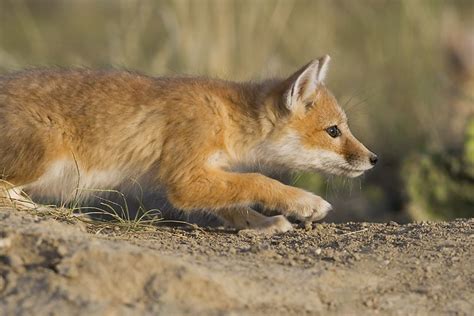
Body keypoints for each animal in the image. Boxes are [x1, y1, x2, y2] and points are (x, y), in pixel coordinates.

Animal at [0, 55, 378, 232]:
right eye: (333, 131)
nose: (373, 159)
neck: (225, 115)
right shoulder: (185, 180)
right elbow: (258, 180)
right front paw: (305, 202)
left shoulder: (209, 173)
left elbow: (236, 202)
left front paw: (264, 224)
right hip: (44, 155)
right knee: (7, 194)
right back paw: (51, 211)